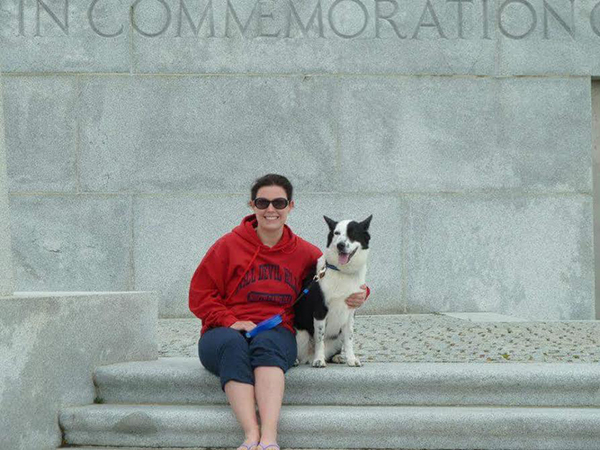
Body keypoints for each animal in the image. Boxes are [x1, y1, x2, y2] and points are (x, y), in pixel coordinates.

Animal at [292, 216, 370, 368]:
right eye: (336, 233)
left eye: (352, 233)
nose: (340, 245)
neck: (342, 272)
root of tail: (307, 357)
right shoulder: (320, 310)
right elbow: (319, 338)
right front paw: (319, 360)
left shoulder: (350, 313)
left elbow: (349, 338)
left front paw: (351, 359)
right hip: (300, 334)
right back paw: (298, 359)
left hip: (337, 337)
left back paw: (337, 357)